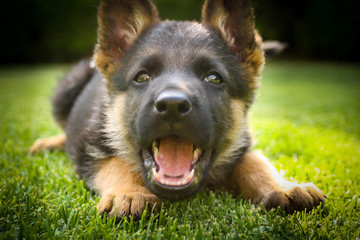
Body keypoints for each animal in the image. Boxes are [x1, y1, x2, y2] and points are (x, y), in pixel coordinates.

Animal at [31, 0, 326, 218]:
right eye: (142, 77)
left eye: (214, 78)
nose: (172, 106)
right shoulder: (89, 148)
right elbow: (114, 162)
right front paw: (130, 193)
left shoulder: (243, 142)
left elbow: (255, 161)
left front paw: (285, 187)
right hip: (67, 89)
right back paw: (47, 143)